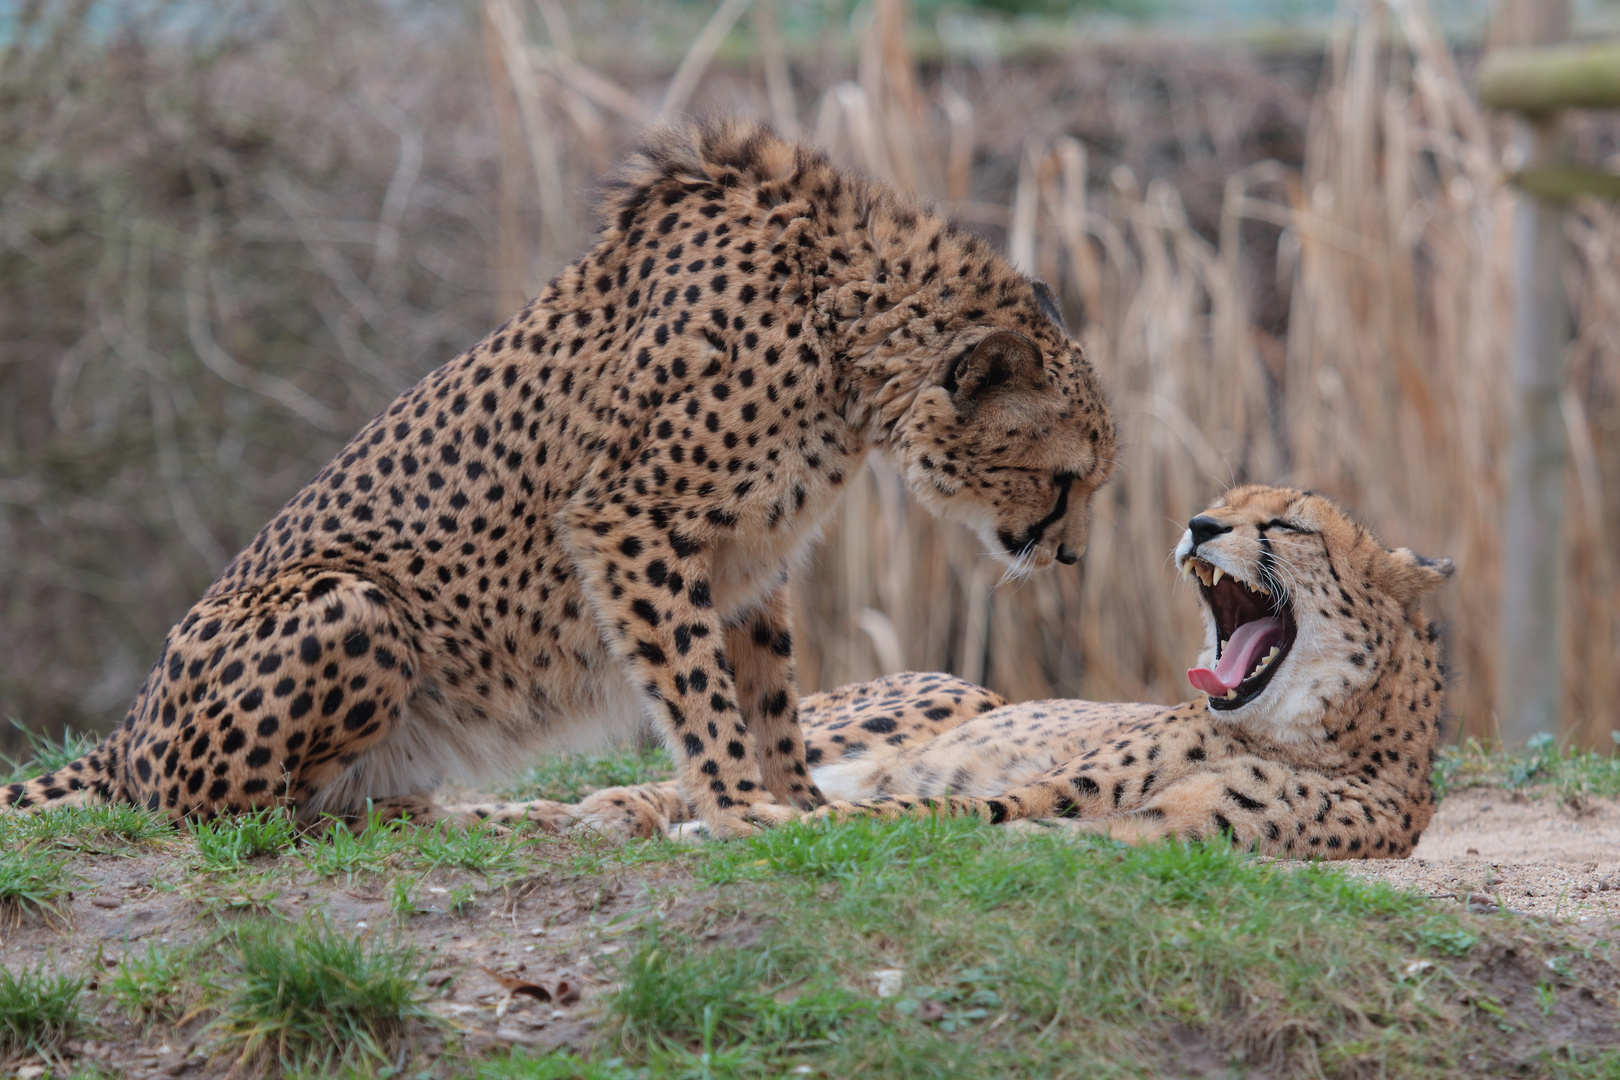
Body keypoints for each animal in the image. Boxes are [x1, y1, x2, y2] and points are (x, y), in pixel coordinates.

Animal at [3, 120, 1114, 841]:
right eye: (1065, 479)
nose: (1071, 557)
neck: (843, 330)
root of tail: (129, 733)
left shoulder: (748, 562)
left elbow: (769, 697)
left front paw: (800, 807)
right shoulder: (630, 519)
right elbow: (698, 691)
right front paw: (736, 808)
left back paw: (493, 810)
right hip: (353, 601)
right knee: (245, 819)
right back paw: (453, 819)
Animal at [521, 488, 1458, 861]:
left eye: (1289, 525)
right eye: (1224, 502)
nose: (1198, 524)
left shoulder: (1158, 832)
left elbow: (962, 817)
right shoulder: (1060, 789)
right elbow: (936, 806)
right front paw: (774, 825)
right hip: (945, 691)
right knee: (672, 779)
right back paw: (582, 813)